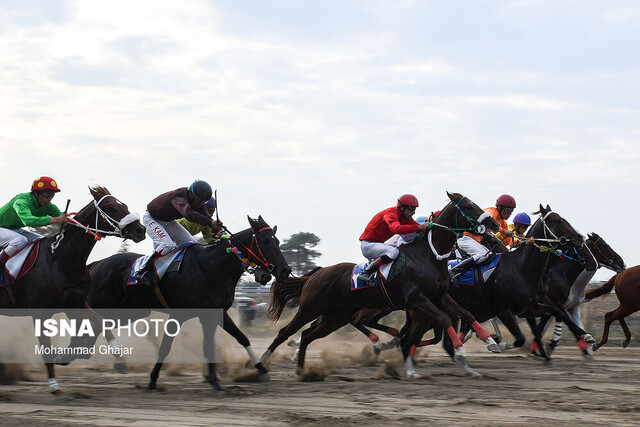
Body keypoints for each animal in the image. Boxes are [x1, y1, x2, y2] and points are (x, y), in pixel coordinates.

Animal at [0, 186, 145, 400]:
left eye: (124, 205)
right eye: (111, 207)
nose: (140, 230)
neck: (60, 260)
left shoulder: (76, 302)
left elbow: (101, 322)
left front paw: (120, 361)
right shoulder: (40, 312)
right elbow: (46, 350)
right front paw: (55, 388)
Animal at [80, 216, 290, 392]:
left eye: (277, 241)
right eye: (265, 241)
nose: (285, 271)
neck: (210, 267)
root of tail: (97, 264)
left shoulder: (217, 312)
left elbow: (240, 338)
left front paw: (259, 370)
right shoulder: (180, 314)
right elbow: (168, 346)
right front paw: (153, 380)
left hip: (128, 312)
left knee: (96, 327)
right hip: (106, 306)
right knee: (92, 325)